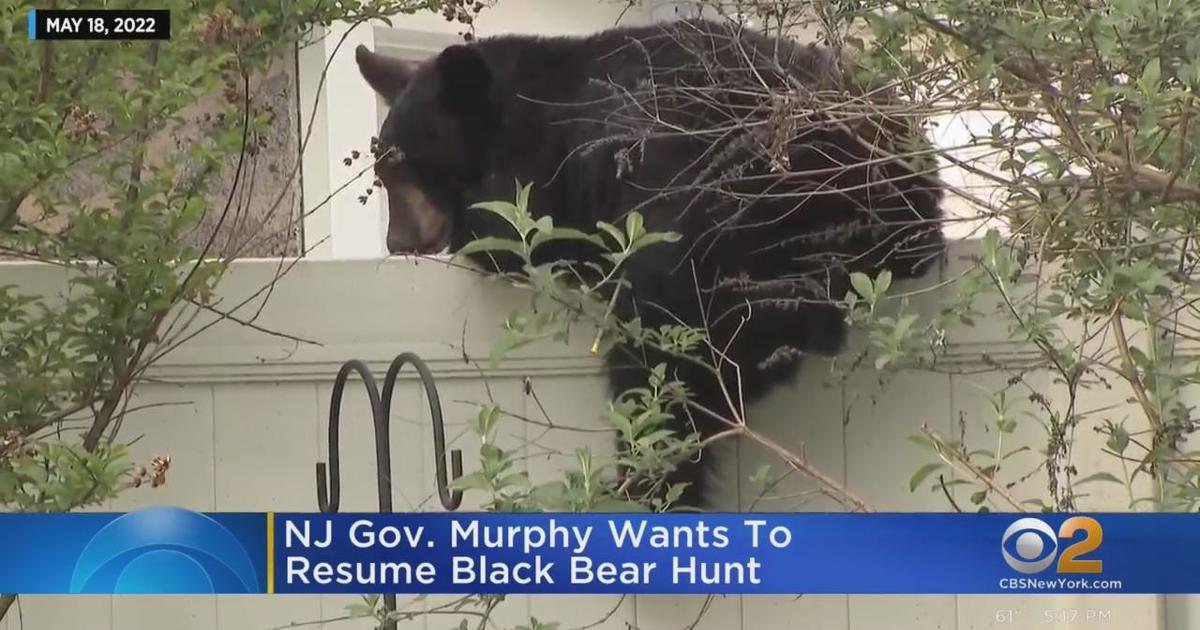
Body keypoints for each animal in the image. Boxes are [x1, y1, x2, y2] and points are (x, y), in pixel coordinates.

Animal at [355, 17, 945, 506]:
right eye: (384, 172)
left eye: (405, 168)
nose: (396, 239)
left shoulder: (554, 171)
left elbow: (519, 236)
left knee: (660, 347)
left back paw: (648, 479)